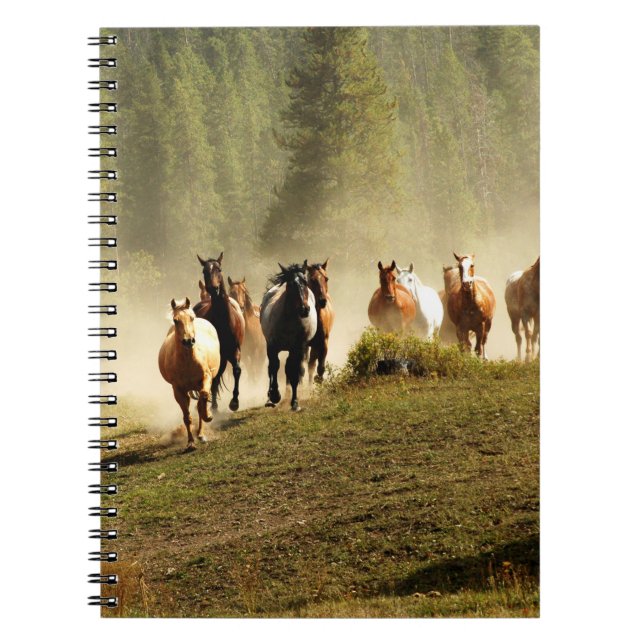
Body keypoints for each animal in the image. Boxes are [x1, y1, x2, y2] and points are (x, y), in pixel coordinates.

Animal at [158, 298, 221, 451]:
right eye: (175, 320)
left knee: (200, 402)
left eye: (191, 318)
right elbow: (187, 417)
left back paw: (202, 434)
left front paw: (208, 416)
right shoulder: (178, 390)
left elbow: (204, 396)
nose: (188, 341)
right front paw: (190, 443)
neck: (188, 360)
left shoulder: (206, 378)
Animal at [193, 252, 245, 412]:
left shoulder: (234, 350)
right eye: (205, 271)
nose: (213, 288)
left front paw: (234, 402)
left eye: (219, 269)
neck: (223, 321)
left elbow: (237, 370)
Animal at [260, 262, 317, 411]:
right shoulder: (272, 346)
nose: (304, 309)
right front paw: (274, 395)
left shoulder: (297, 348)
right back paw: (271, 398)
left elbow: (294, 371)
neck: (288, 321)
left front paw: (295, 402)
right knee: (272, 369)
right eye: (291, 284)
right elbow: (274, 367)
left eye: (305, 282)